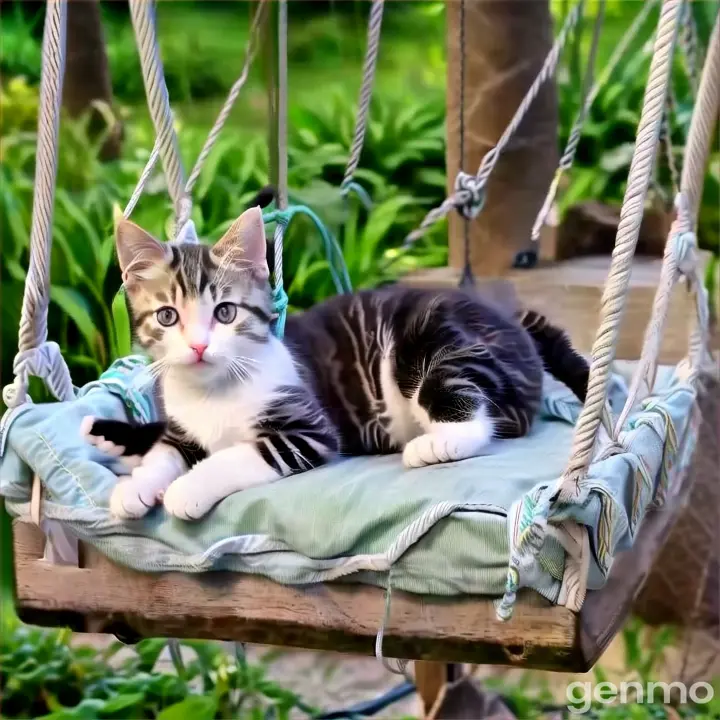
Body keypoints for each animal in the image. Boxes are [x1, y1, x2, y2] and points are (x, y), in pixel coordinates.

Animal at [83, 205, 592, 520]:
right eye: (168, 316)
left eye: (225, 313)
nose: (199, 347)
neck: (213, 391)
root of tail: (510, 317)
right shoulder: (182, 427)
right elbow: (166, 451)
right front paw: (138, 485)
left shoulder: (308, 430)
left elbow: (237, 454)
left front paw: (188, 488)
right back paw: (110, 436)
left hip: (430, 343)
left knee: (478, 412)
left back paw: (435, 443)